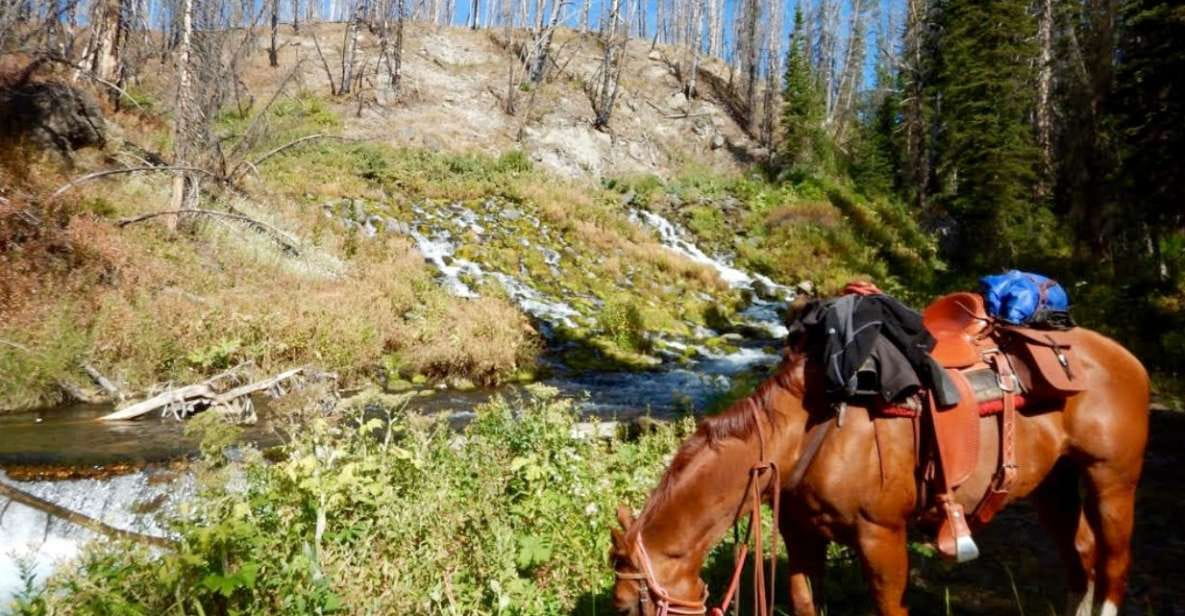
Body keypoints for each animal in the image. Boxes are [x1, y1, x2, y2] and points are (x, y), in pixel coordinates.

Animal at [610, 323, 1149, 616]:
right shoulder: (802, 536)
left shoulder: (881, 537)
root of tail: (1126, 357)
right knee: (1081, 556)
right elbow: (805, 602)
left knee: (1114, 563)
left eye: (624, 606)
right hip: (1054, 486)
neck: (808, 432)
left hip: (1112, 479)